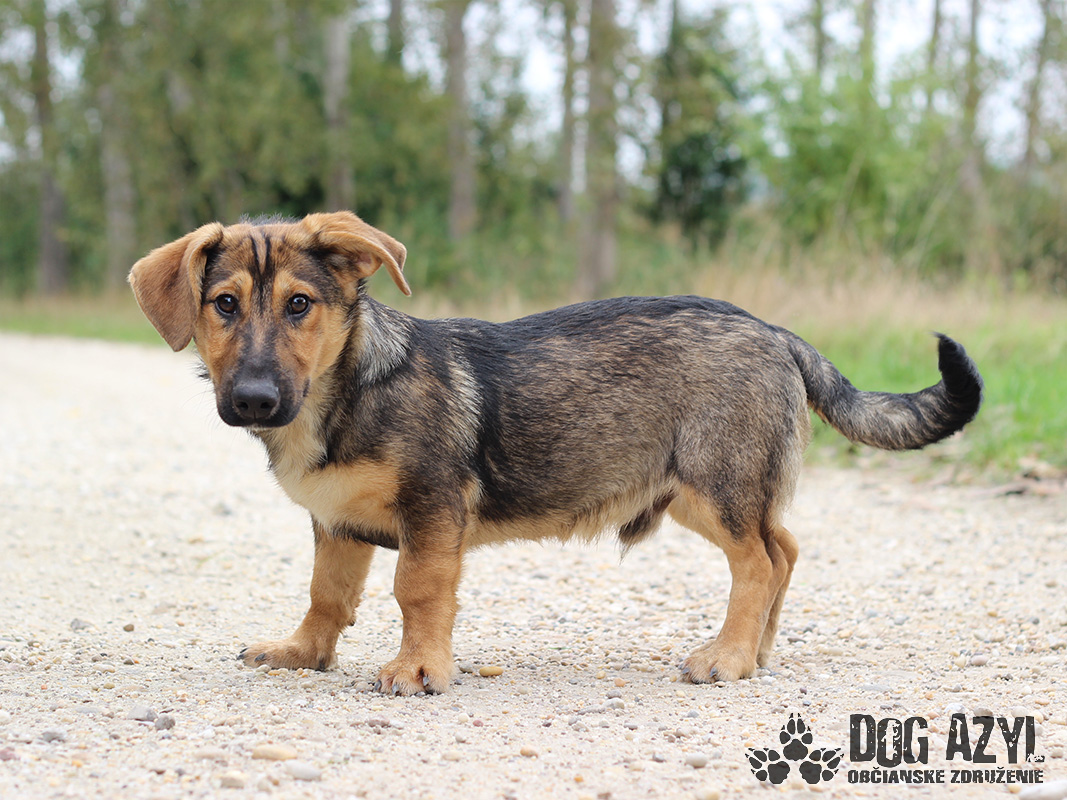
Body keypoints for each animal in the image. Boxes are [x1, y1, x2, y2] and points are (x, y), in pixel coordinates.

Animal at [128, 211, 982, 695]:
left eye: (300, 306)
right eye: (223, 305)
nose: (253, 399)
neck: (344, 389)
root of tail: (777, 333)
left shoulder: (430, 510)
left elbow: (417, 592)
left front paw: (419, 669)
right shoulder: (336, 525)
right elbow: (326, 596)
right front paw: (303, 654)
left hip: (715, 483)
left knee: (760, 563)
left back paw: (729, 657)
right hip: (711, 492)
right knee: (787, 547)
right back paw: (758, 649)